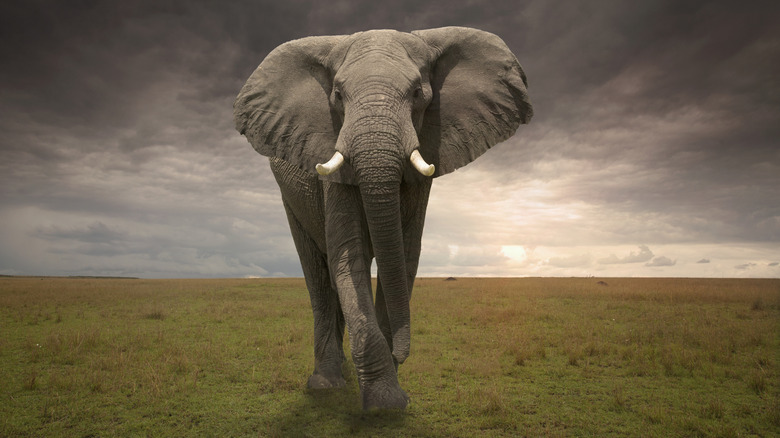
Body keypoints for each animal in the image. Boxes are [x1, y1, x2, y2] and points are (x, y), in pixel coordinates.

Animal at [235, 26, 532, 410]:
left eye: (418, 93)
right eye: (338, 95)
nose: (400, 355)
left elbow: (403, 257)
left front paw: (389, 391)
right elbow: (350, 259)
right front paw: (385, 403)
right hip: (290, 197)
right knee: (319, 276)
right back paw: (326, 384)